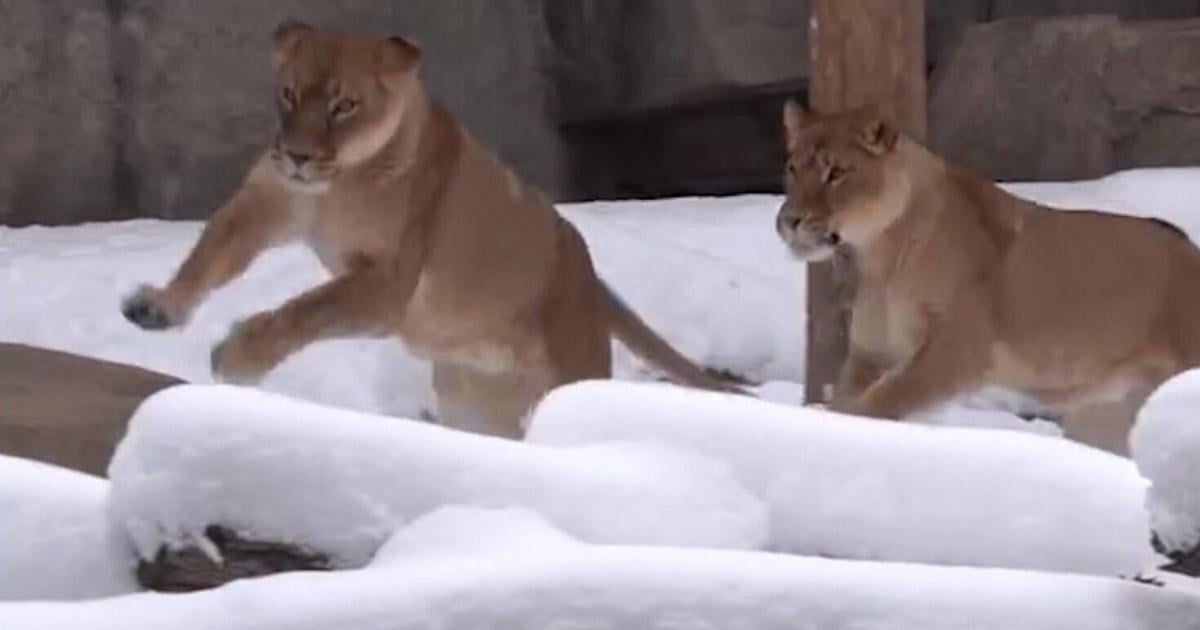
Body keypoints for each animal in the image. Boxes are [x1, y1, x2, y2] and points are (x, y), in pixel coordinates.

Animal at [120, 21, 735, 438]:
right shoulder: (267, 204)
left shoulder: (387, 284)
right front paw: (157, 307)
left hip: (570, 371)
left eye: (344, 105)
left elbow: (306, 310)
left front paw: (238, 356)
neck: (337, 186)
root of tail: (590, 276)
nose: (295, 155)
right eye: (289, 93)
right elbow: (209, 254)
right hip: (473, 403)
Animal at [776, 101, 1200, 454]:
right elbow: (846, 403)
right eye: (793, 168)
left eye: (835, 173)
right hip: (1104, 414)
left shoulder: (955, 352)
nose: (791, 220)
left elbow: (879, 404)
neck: (881, 256)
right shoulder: (870, 354)